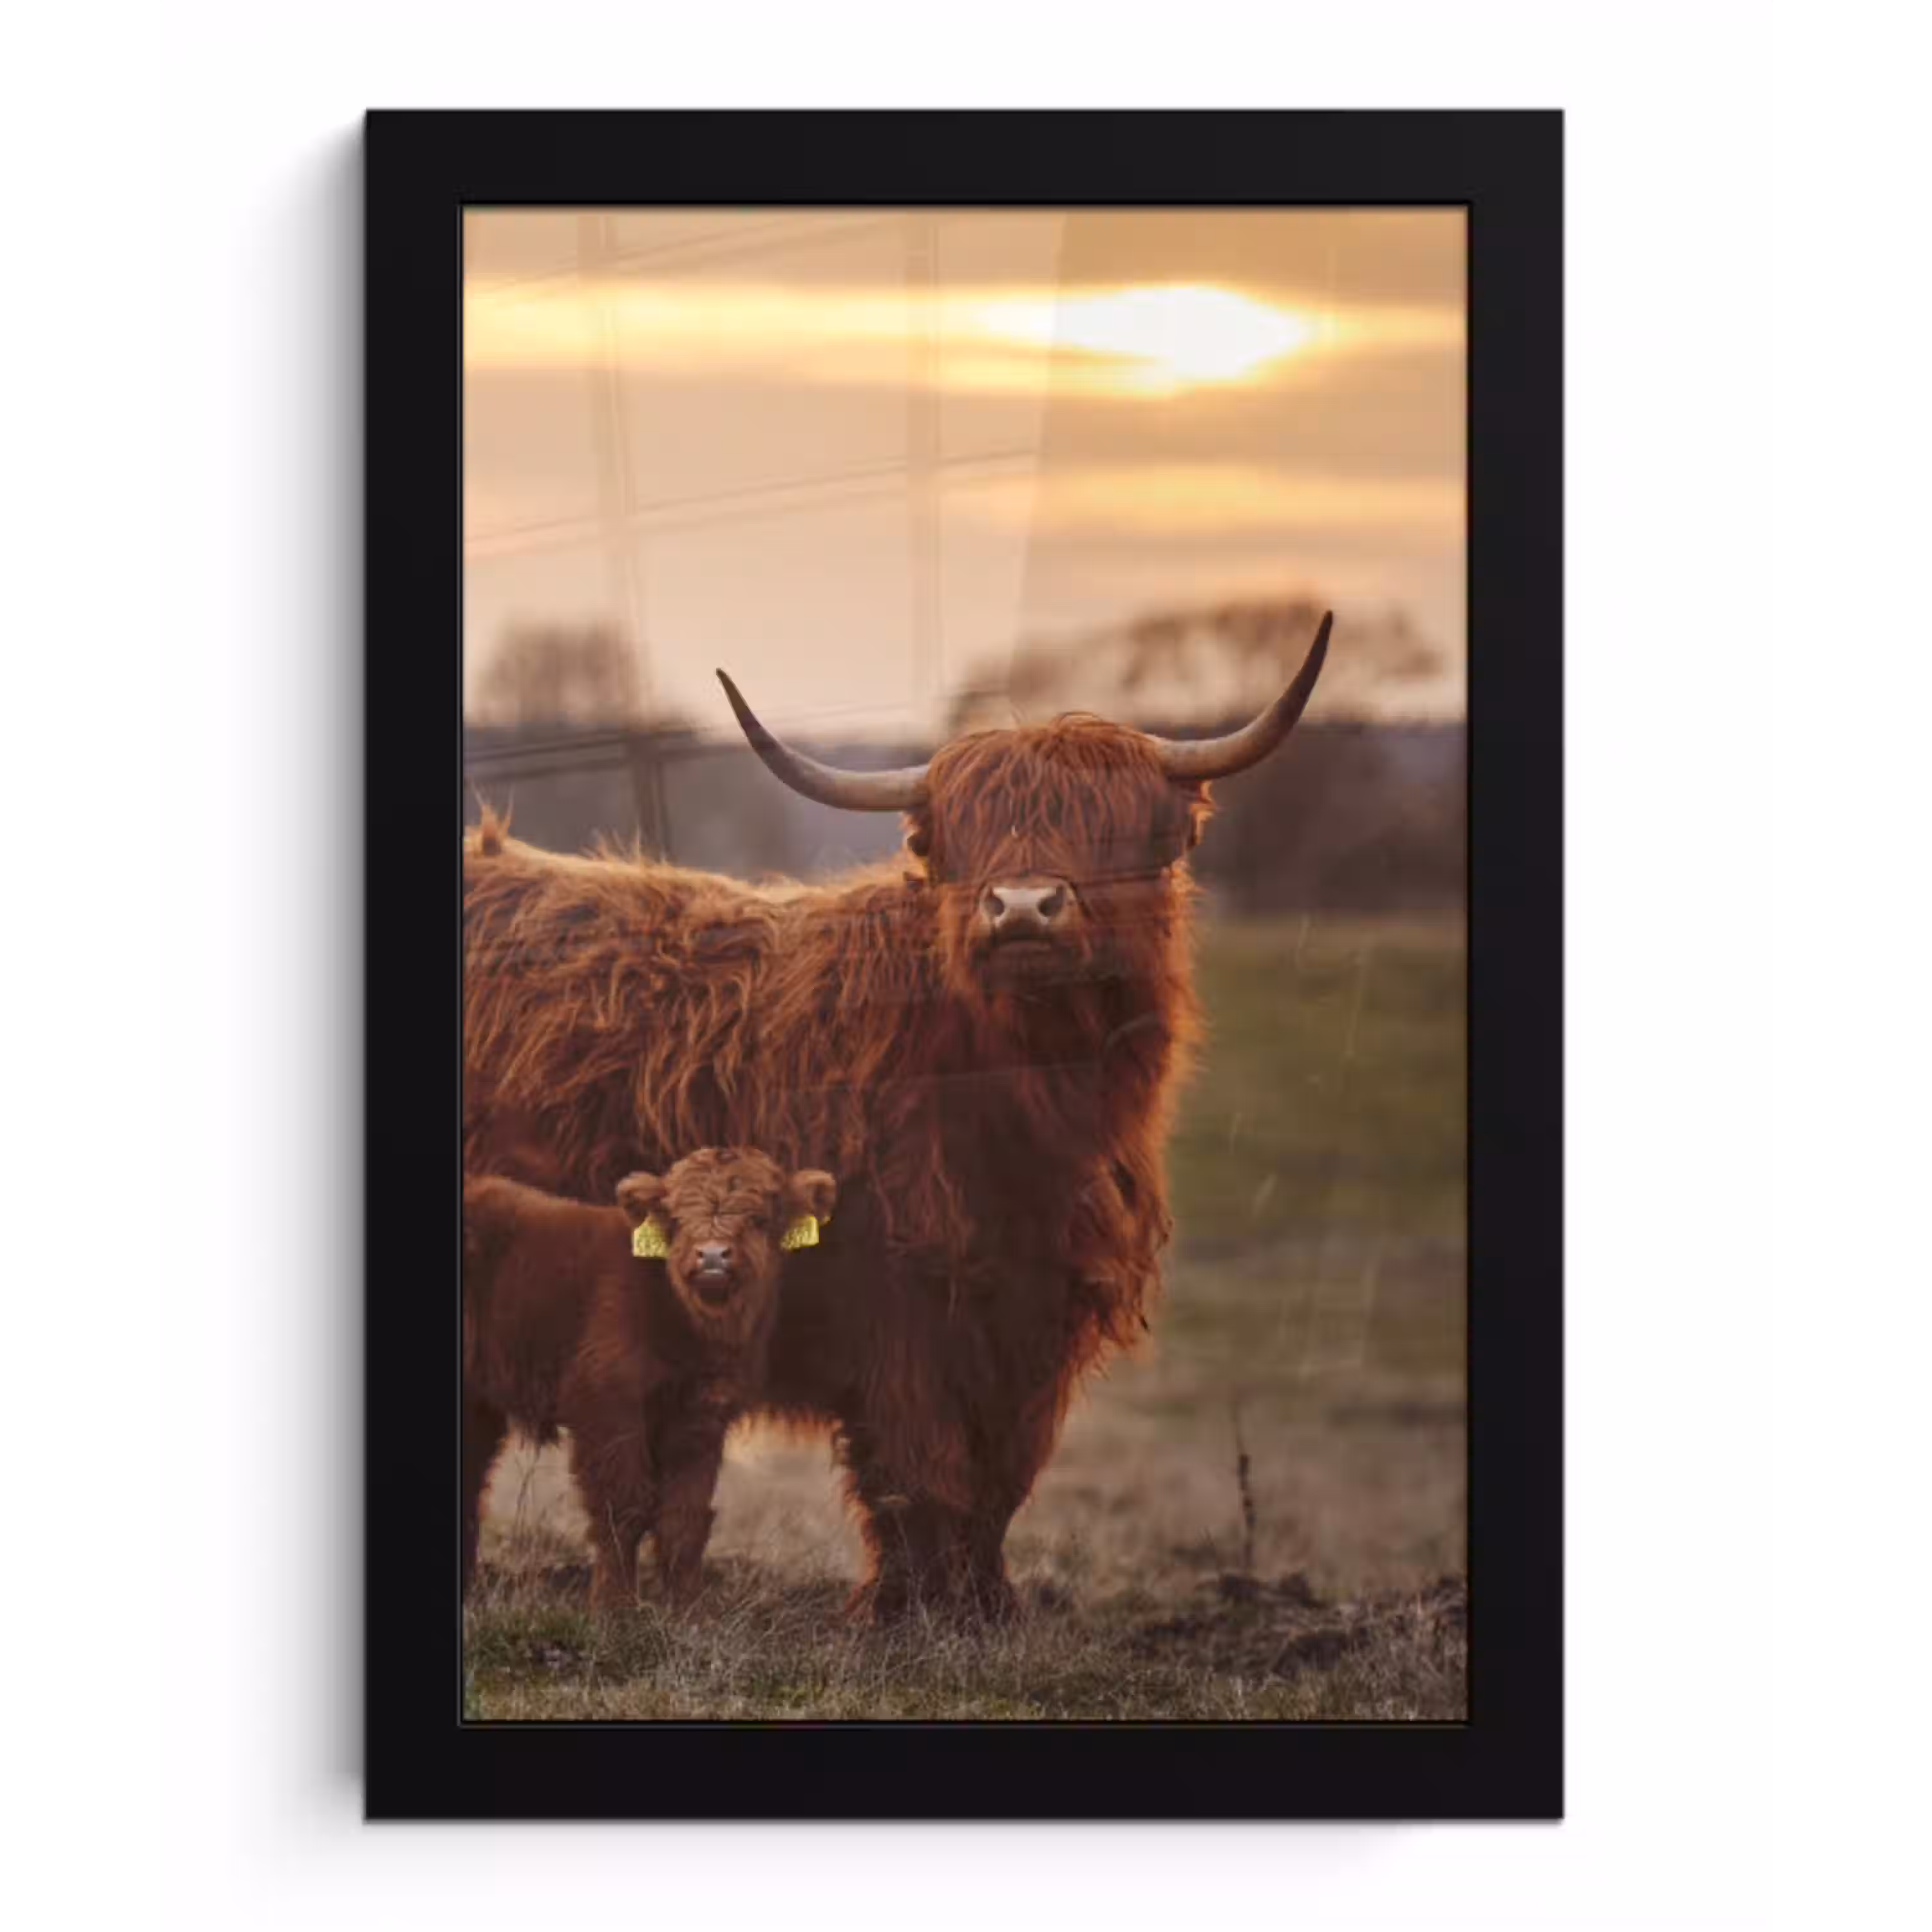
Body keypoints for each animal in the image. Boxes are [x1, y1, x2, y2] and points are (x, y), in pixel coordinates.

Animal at [462, 1151, 839, 1612]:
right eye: (676, 1219)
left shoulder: (701, 1417)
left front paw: (689, 1609)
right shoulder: (609, 1408)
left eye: (760, 1218)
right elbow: (624, 1508)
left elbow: (684, 1518)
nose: (712, 1256)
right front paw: (614, 1608)